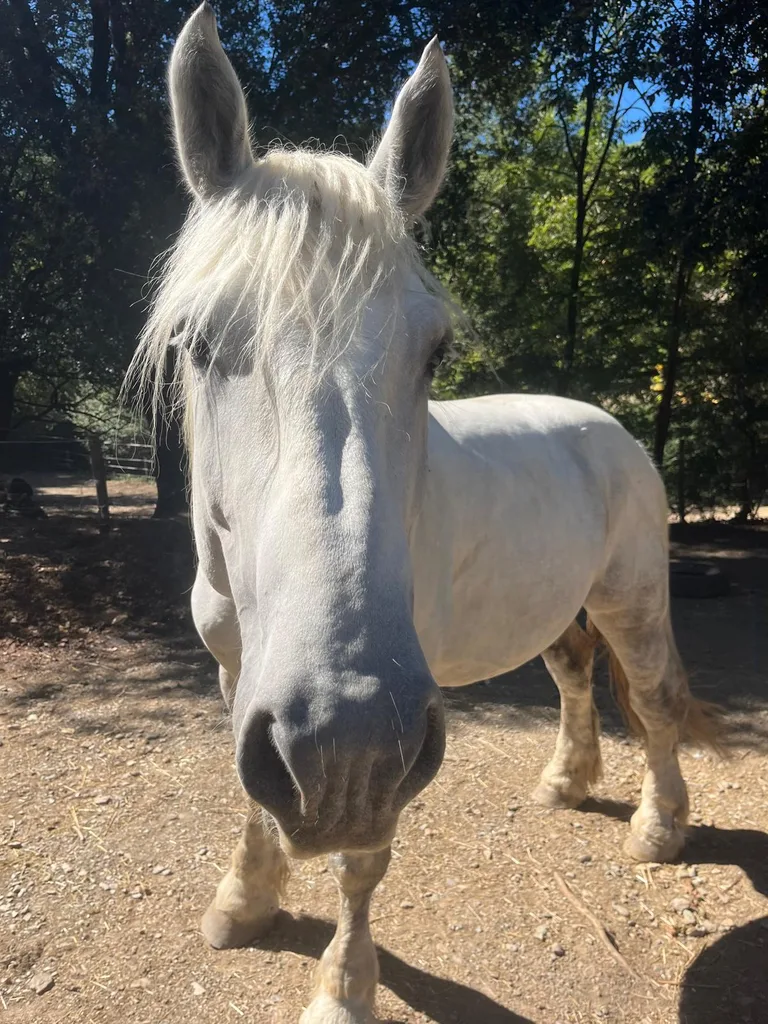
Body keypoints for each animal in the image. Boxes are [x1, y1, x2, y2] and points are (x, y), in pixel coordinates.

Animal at [130, 6, 720, 1021]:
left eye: (435, 352)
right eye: (196, 344)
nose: (342, 746)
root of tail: (608, 425)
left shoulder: (390, 734)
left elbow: (360, 863)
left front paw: (342, 989)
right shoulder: (238, 677)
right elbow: (252, 800)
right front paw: (242, 906)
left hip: (632, 598)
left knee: (653, 701)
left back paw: (656, 829)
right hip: (549, 612)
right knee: (574, 678)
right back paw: (565, 784)